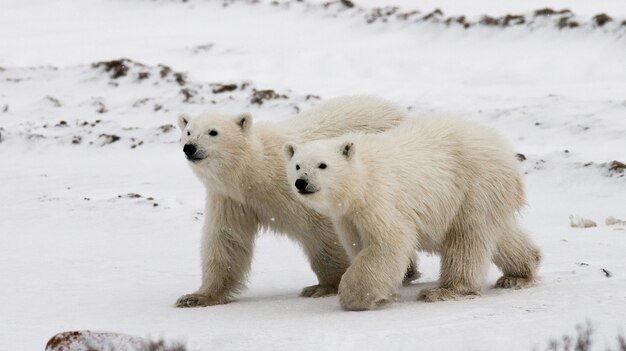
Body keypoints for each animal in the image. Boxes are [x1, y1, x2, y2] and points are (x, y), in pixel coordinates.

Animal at [174, 95, 414, 308]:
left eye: (213, 132)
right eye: (188, 131)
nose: (190, 147)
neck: (253, 172)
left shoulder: (296, 188)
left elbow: (323, 231)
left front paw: (324, 286)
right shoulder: (230, 199)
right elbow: (226, 239)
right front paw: (196, 297)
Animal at [284, 115, 540, 310]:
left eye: (322, 165)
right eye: (297, 165)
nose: (301, 182)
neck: (360, 180)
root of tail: (505, 151)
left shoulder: (381, 196)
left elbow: (389, 242)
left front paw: (354, 296)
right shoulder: (348, 217)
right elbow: (358, 244)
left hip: (475, 185)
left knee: (467, 238)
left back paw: (443, 290)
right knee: (500, 235)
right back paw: (520, 272)